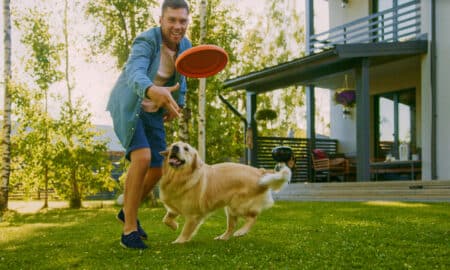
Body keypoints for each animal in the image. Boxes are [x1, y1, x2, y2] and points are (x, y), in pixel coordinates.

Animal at [159, 142, 292, 244]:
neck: (179, 177)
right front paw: (174, 225)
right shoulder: (173, 208)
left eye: (186, 148)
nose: (175, 148)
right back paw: (223, 237)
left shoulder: (193, 215)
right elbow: (165, 219)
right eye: (173, 145)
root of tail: (260, 172)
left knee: (253, 217)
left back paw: (241, 232)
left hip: (238, 206)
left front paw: (179, 241)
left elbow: (186, 230)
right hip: (230, 209)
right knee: (232, 226)